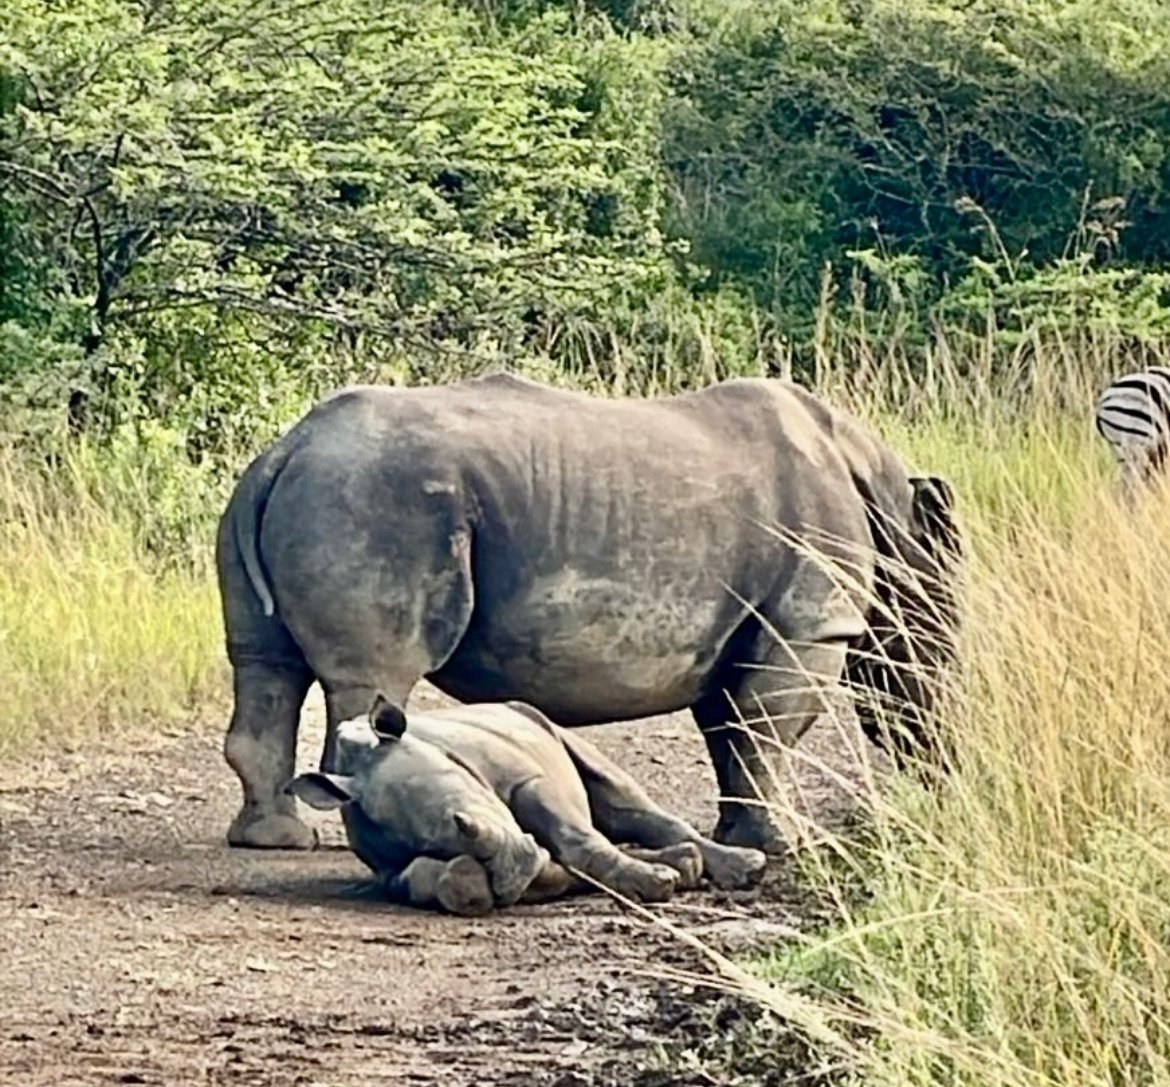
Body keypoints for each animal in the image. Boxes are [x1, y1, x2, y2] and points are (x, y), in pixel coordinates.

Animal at [218, 372, 963, 855]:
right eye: (941, 645)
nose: (942, 758)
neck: (893, 511)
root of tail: (287, 449)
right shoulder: (809, 622)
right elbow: (767, 727)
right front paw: (790, 845)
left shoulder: (736, 627)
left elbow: (731, 730)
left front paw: (742, 836)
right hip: (375, 501)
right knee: (375, 675)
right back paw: (331, 837)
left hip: (294, 495)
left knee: (265, 665)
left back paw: (275, 840)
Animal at [285, 697, 767, 915]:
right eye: (430, 841)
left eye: (466, 798)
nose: (517, 870)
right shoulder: (389, 870)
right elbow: (430, 878)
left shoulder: (524, 780)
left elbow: (577, 838)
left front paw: (654, 884)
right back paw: (683, 866)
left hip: (536, 717)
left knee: (619, 800)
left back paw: (743, 867)